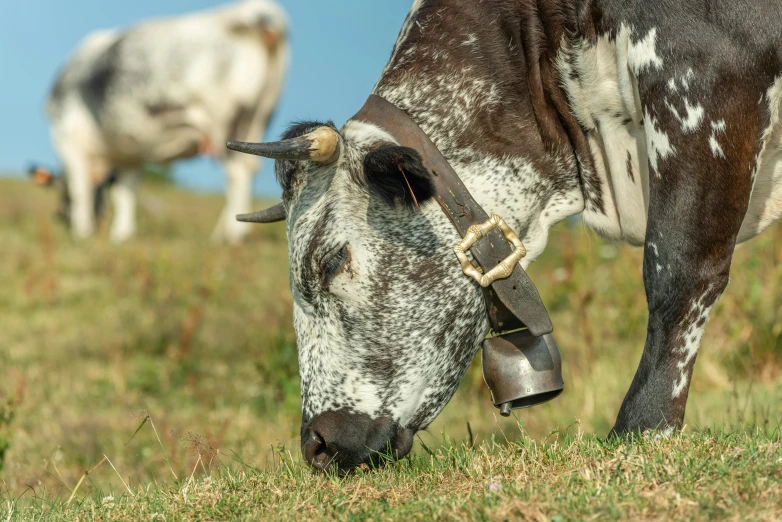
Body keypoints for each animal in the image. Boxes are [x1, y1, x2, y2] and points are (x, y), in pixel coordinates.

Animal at [40, 0, 290, 242]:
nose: (61, 217)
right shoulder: (129, 154)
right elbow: (125, 191)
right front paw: (122, 234)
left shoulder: (69, 139)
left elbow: (79, 188)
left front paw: (81, 233)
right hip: (258, 121)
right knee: (249, 167)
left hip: (228, 124)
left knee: (237, 174)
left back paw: (230, 235)